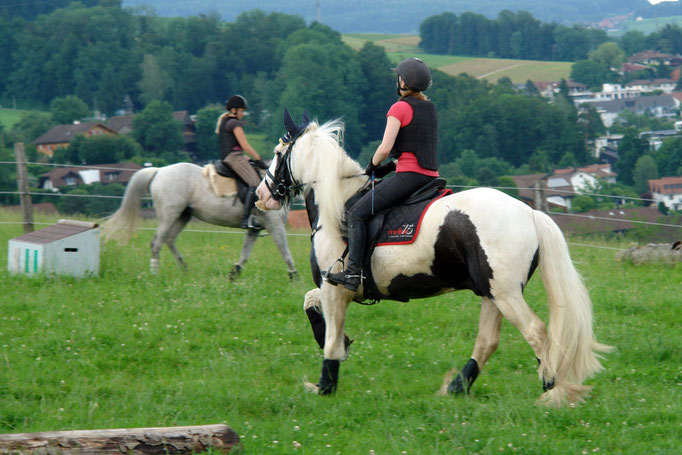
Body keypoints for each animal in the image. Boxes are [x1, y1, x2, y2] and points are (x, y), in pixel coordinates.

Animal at [100, 162, 294, 280]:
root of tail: (159, 171)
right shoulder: (275, 226)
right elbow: (285, 253)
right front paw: (295, 278)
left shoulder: (254, 229)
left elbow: (245, 255)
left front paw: (233, 276)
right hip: (169, 214)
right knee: (157, 242)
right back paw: (155, 274)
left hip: (183, 215)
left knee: (169, 239)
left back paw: (183, 268)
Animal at [255, 116, 612, 408]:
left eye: (277, 153)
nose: (261, 195)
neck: (337, 207)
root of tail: (530, 213)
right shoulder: (334, 290)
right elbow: (309, 302)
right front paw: (336, 347)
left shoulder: (336, 289)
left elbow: (327, 337)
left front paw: (325, 384)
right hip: (492, 293)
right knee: (487, 343)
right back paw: (455, 388)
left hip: (505, 294)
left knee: (537, 333)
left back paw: (552, 391)